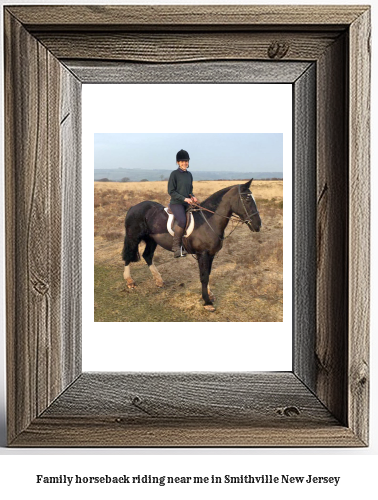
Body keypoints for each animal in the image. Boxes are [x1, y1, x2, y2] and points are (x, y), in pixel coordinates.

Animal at [122, 180, 262, 310]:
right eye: (247, 199)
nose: (258, 225)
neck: (209, 220)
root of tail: (134, 207)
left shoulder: (210, 254)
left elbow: (207, 274)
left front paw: (209, 295)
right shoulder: (203, 254)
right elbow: (204, 276)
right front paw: (207, 302)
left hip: (151, 240)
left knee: (147, 256)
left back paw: (159, 281)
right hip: (133, 238)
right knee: (128, 256)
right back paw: (130, 281)